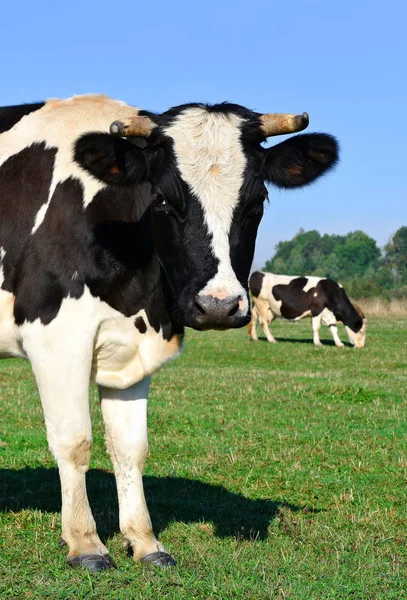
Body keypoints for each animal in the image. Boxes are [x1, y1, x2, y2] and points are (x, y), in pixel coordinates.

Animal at [0, 95, 340, 572]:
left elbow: (130, 447)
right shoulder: (56, 339)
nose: (217, 305)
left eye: (258, 200)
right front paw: (86, 543)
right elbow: (74, 441)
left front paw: (145, 542)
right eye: (160, 198)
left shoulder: (132, 348)